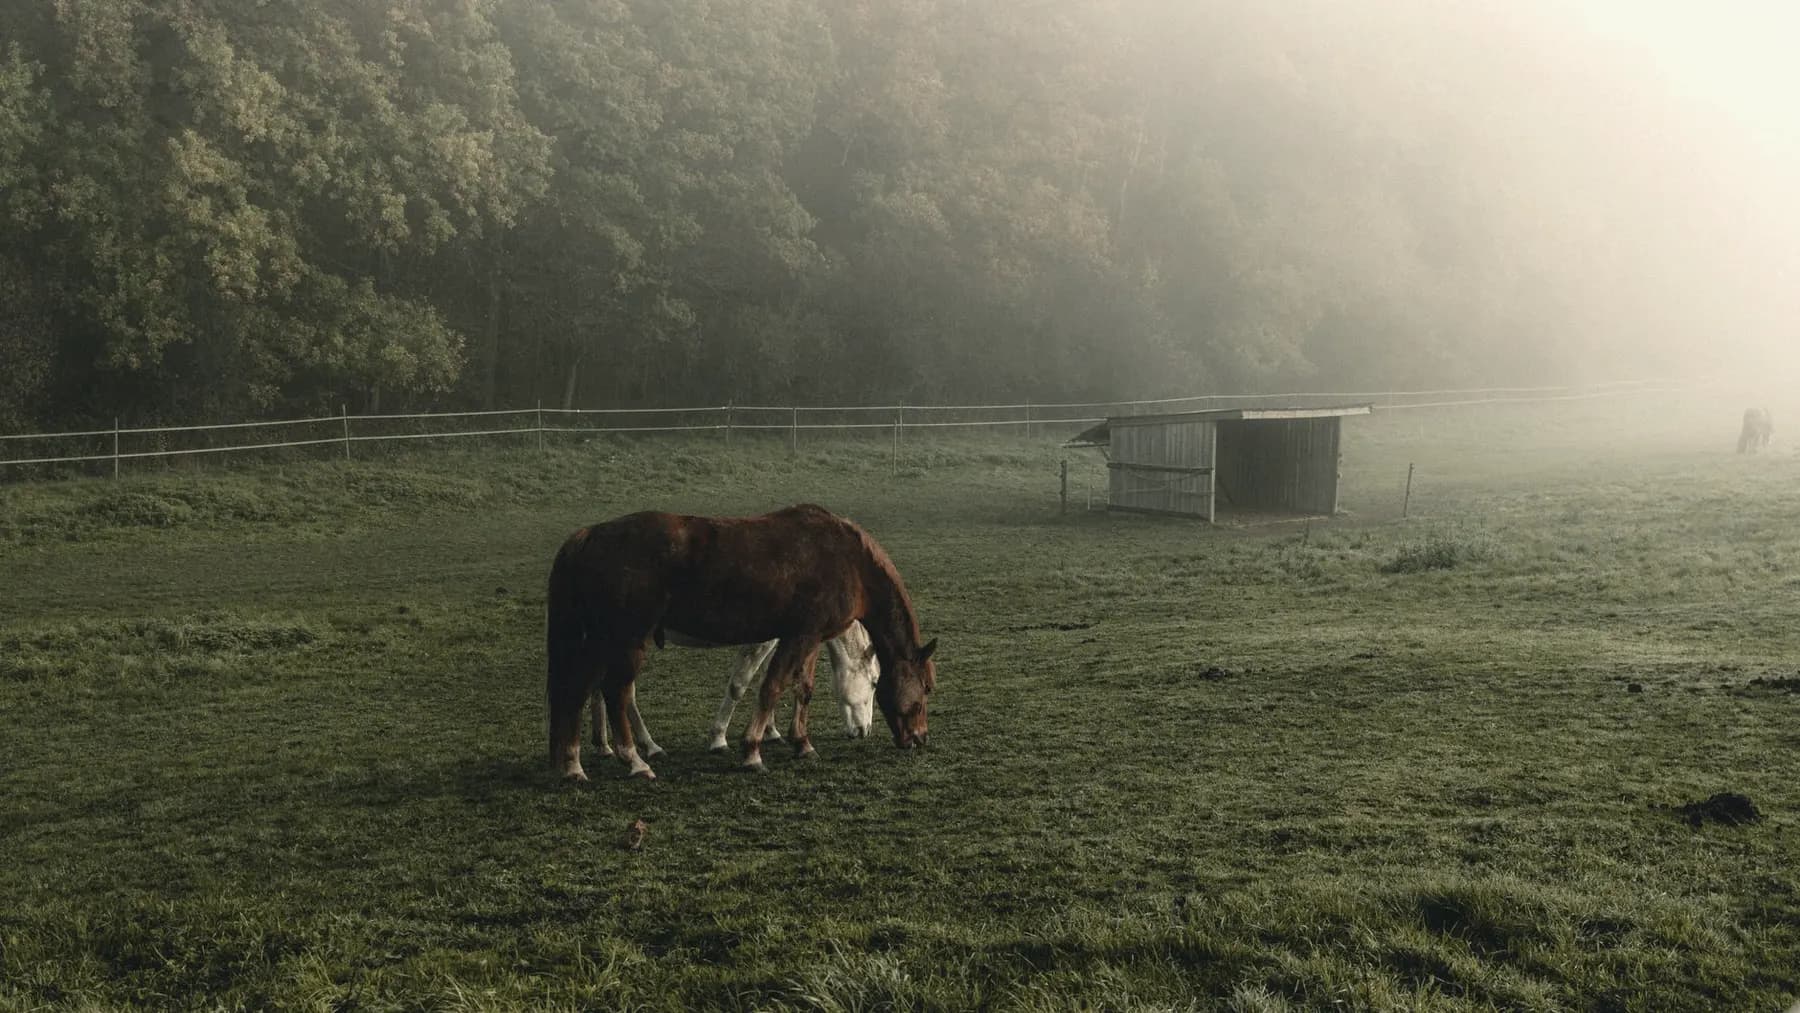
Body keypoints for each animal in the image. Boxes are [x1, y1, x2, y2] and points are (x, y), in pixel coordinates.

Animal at [585, 622, 880, 760]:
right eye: (876, 681)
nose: (865, 731)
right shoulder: (762, 640)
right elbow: (740, 684)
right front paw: (718, 738)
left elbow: (769, 680)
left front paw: (771, 732)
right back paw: (650, 746)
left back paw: (604, 745)